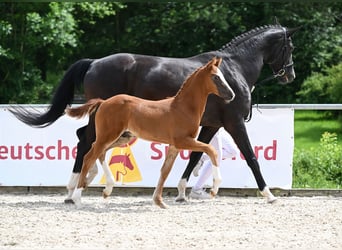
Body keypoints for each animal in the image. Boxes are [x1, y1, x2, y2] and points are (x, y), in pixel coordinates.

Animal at [65, 57, 235, 208]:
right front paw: (214, 189)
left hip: (120, 138)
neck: (183, 108)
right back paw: (77, 197)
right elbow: (211, 150)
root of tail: (103, 102)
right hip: (108, 135)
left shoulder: (174, 146)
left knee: (100, 153)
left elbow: (165, 171)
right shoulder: (183, 141)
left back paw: (106, 189)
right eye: (216, 77)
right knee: (89, 156)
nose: (232, 95)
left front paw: (159, 202)